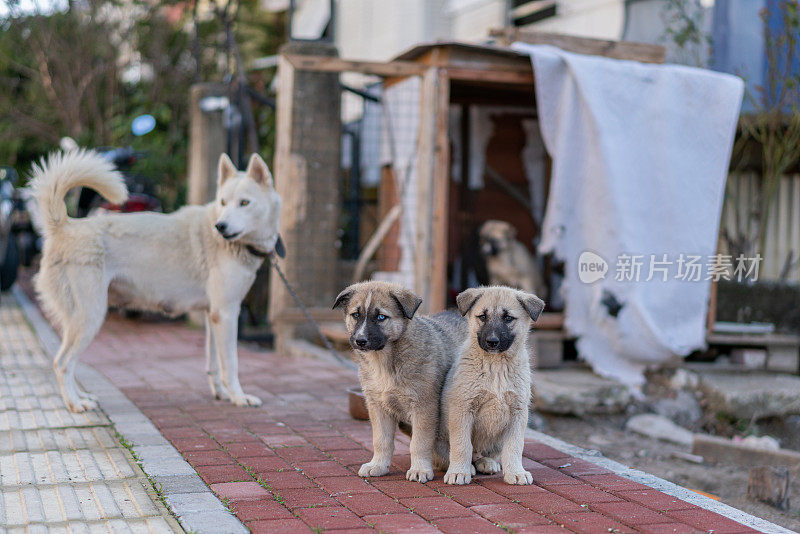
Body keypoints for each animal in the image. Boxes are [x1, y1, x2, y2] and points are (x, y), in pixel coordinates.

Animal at [30, 151, 282, 414]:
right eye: (223, 202)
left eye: (244, 203)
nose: (220, 226)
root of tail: (64, 226)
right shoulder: (226, 313)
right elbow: (230, 365)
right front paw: (239, 397)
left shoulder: (213, 315)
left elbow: (214, 363)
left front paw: (222, 395)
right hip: (90, 317)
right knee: (62, 363)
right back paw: (75, 404)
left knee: (67, 363)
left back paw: (83, 397)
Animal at [332, 284, 468, 486]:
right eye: (355, 315)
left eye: (381, 317)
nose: (360, 341)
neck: (385, 363)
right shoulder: (377, 406)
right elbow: (381, 440)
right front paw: (378, 465)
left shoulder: (424, 407)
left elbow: (419, 443)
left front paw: (419, 469)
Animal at [440, 286, 548, 488]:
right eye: (482, 316)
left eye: (508, 318)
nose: (492, 342)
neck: (496, 366)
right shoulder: (462, 409)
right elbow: (461, 445)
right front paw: (458, 472)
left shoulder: (518, 412)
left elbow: (514, 447)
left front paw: (516, 472)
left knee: (484, 453)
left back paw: (486, 462)